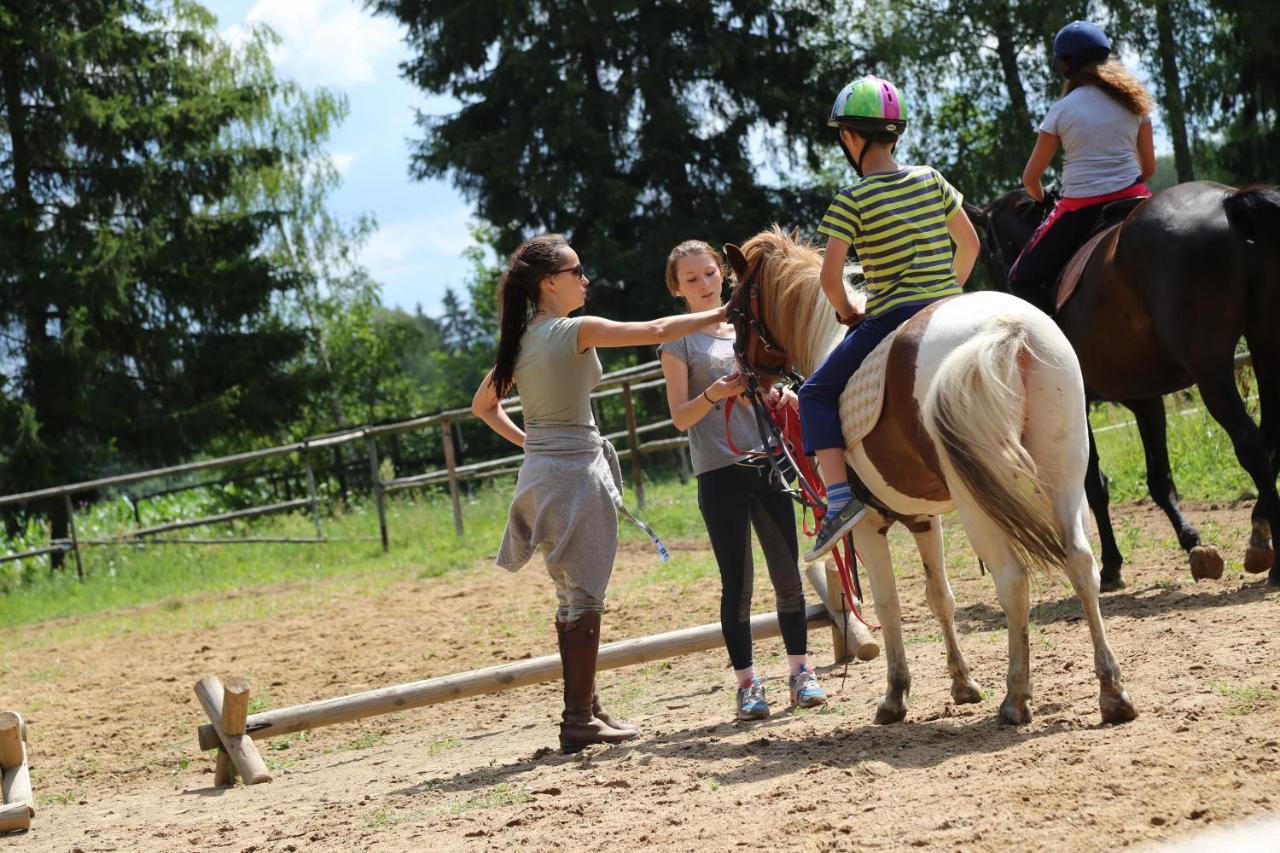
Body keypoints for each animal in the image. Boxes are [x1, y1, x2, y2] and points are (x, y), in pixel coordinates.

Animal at [727, 227, 1136, 722]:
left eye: (733, 312)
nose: (740, 376)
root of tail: (1006, 330)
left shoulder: (869, 525)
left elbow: (889, 603)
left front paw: (894, 696)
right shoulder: (924, 518)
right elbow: (939, 595)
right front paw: (962, 684)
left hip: (977, 504)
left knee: (1012, 581)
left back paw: (1016, 697)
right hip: (1066, 471)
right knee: (1080, 562)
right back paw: (1111, 692)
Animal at [967, 181, 1280, 589]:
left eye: (987, 250)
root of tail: (1228, 201)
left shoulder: (1077, 404)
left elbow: (1093, 484)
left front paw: (1112, 564)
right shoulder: (1145, 398)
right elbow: (1159, 478)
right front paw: (1193, 544)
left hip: (1210, 366)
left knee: (1251, 444)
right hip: (1265, 342)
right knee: (1271, 438)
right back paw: (1261, 535)